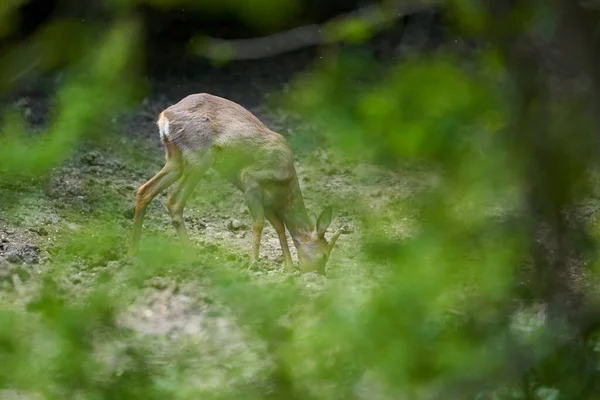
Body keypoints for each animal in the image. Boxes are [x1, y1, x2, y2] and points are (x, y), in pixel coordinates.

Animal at [128, 93, 340, 274]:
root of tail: (164, 117)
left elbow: (279, 226)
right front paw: (253, 263)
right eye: (324, 255)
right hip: (200, 159)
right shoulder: (250, 181)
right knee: (173, 202)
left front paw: (288, 268)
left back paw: (134, 252)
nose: (318, 273)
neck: (284, 184)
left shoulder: (267, 200)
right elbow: (258, 223)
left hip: (176, 160)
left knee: (145, 190)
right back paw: (192, 256)